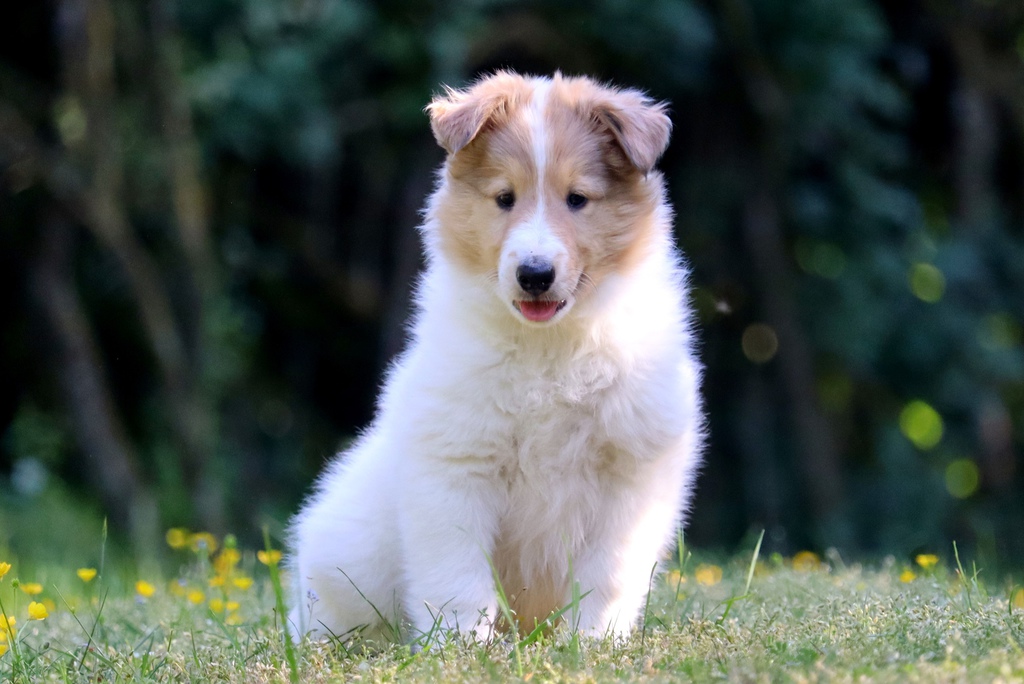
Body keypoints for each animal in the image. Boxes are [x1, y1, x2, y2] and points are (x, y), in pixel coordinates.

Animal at [289, 71, 704, 643]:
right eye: (504, 198)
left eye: (578, 199)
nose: (534, 274)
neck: (548, 345)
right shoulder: (455, 462)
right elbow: (457, 573)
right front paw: (463, 645)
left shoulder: (632, 469)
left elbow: (608, 574)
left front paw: (593, 643)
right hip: (346, 564)